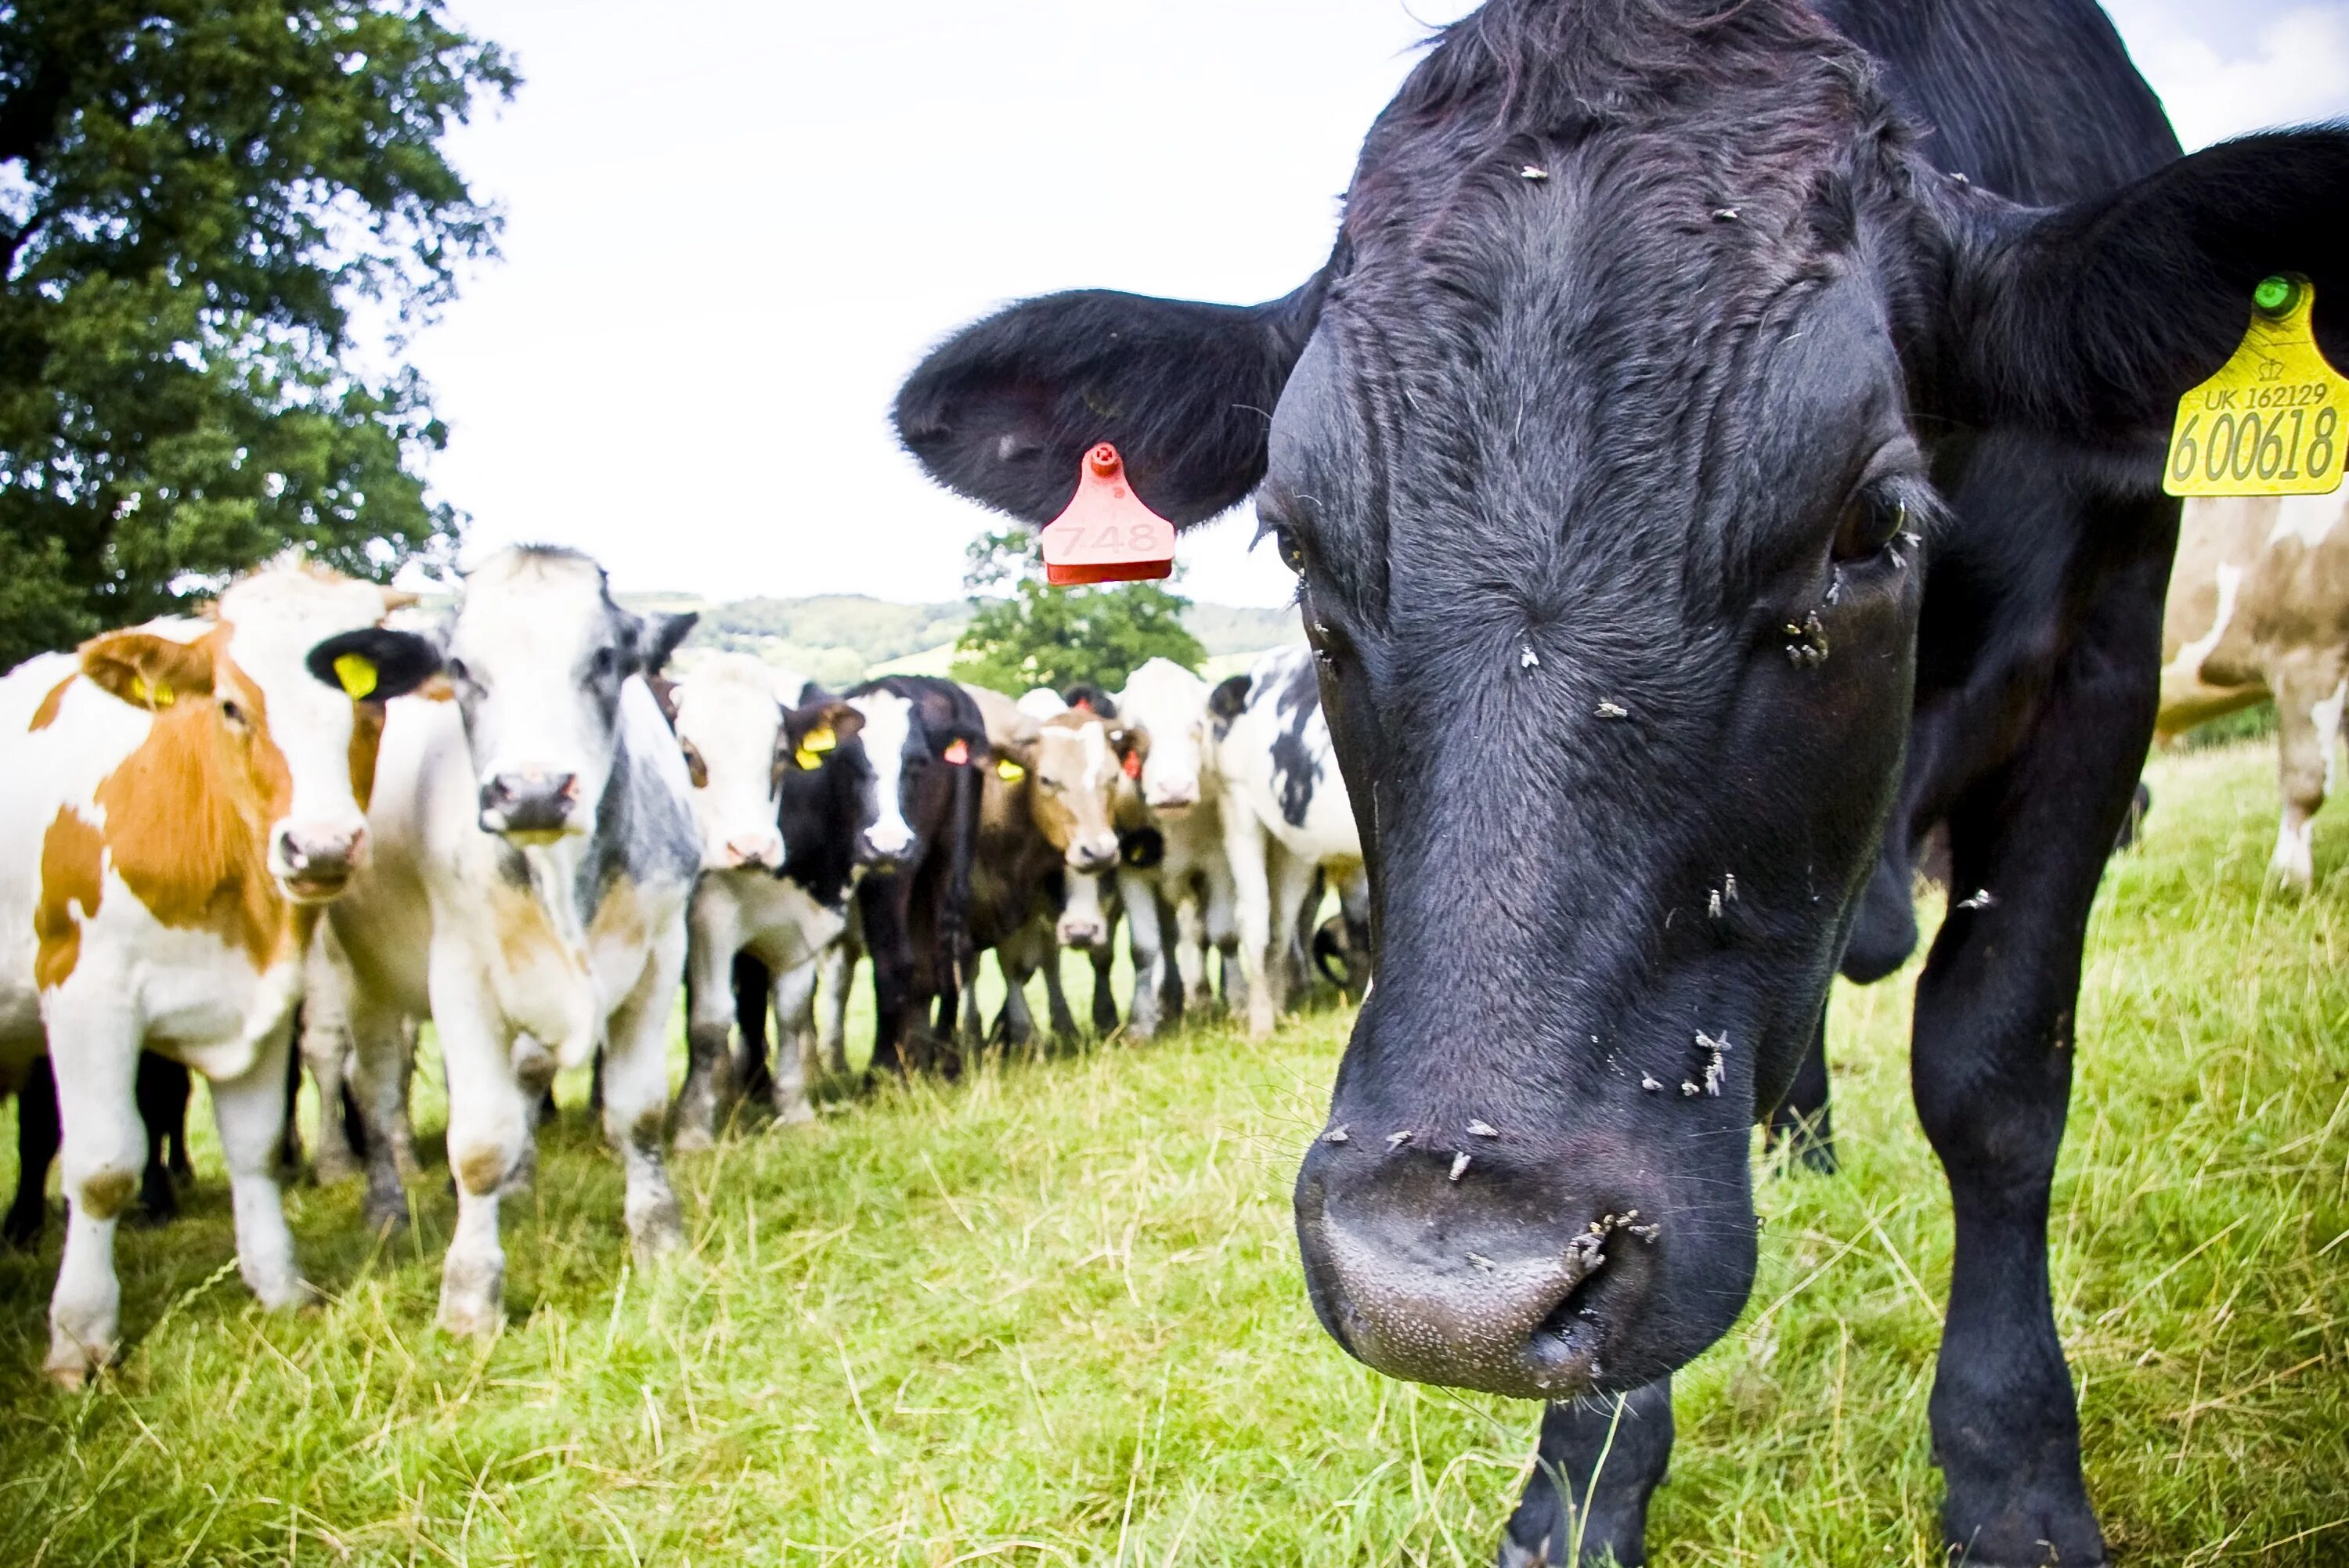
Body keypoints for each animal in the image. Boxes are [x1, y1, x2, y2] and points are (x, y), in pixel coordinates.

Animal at [0, 563, 437, 1380]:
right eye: (231, 706)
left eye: (370, 700)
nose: (321, 846)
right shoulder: (84, 995)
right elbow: (101, 1165)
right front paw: (80, 1335)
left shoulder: (263, 996)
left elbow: (255, 1147)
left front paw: (279, 1284)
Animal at [312, 549, 700, 1333]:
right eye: (460, 667)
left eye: (605, 657)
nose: (533, 791)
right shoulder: (461, 975)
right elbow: (479, 1143)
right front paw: (470, 1295)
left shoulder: (659, 954)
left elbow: (638, 1112)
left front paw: (660, 1242)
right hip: (359, 973)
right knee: (373, 1086)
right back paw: (385, 1205)